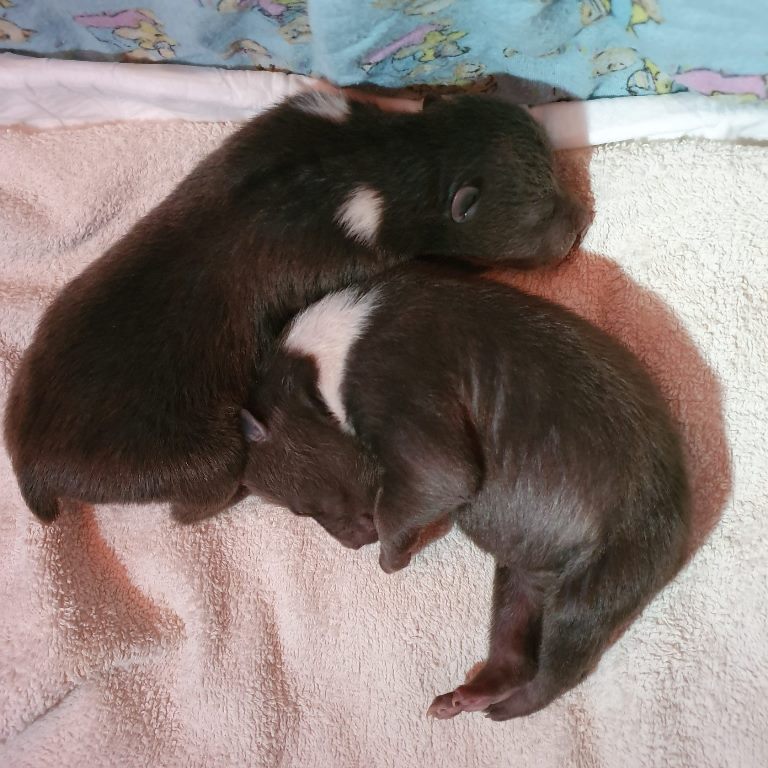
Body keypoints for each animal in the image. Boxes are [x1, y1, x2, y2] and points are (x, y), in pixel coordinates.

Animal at [4, 92, 590, 524]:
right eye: (543, 209)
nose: (583, 219)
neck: (381, 161)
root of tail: (33, 467)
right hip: (198, 457)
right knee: (199, 497)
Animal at [239, 262, 690, 721]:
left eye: (299, 510)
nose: (354, 545)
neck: (320, 360)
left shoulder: (395, 385)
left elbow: (435, 477)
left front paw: (390, 558)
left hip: (604, 573)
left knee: (562, 663)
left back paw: (507, 707)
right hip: (522, 573)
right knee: (515, 642)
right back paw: (463, 698)